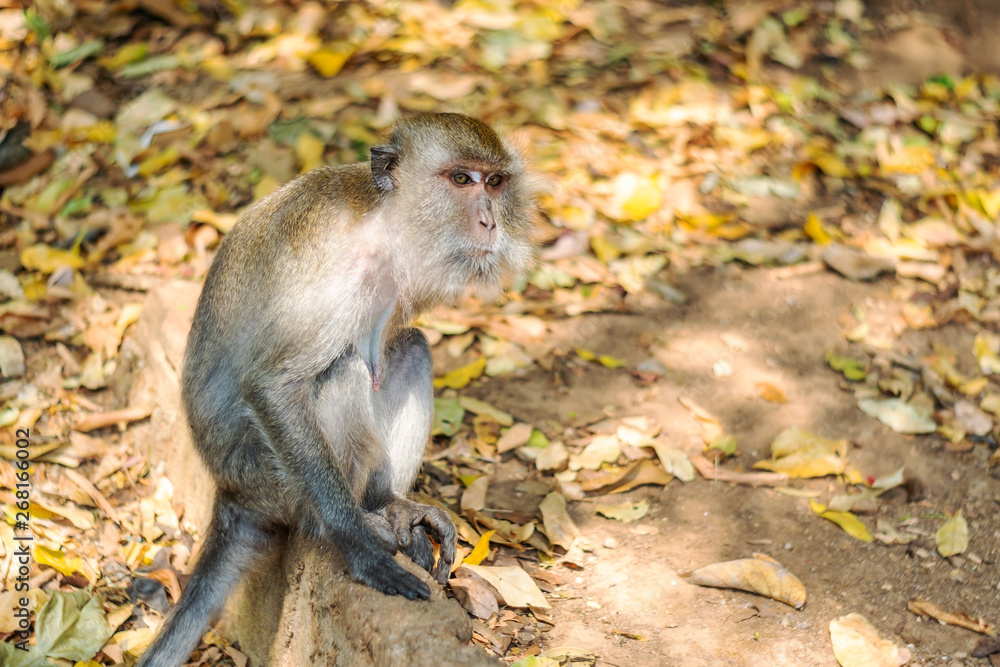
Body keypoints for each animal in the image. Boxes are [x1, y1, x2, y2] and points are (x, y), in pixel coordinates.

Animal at [135, 113, 537, 667]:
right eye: (461, 179)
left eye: (495, 183)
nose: (489, 222)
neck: (384, 221)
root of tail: (231, 492)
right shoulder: (336, 277)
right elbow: (274, 386)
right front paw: (356, 545)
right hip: (270, 480)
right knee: (340, 371)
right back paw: (342, 523)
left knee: (412, 347)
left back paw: (387, 502)